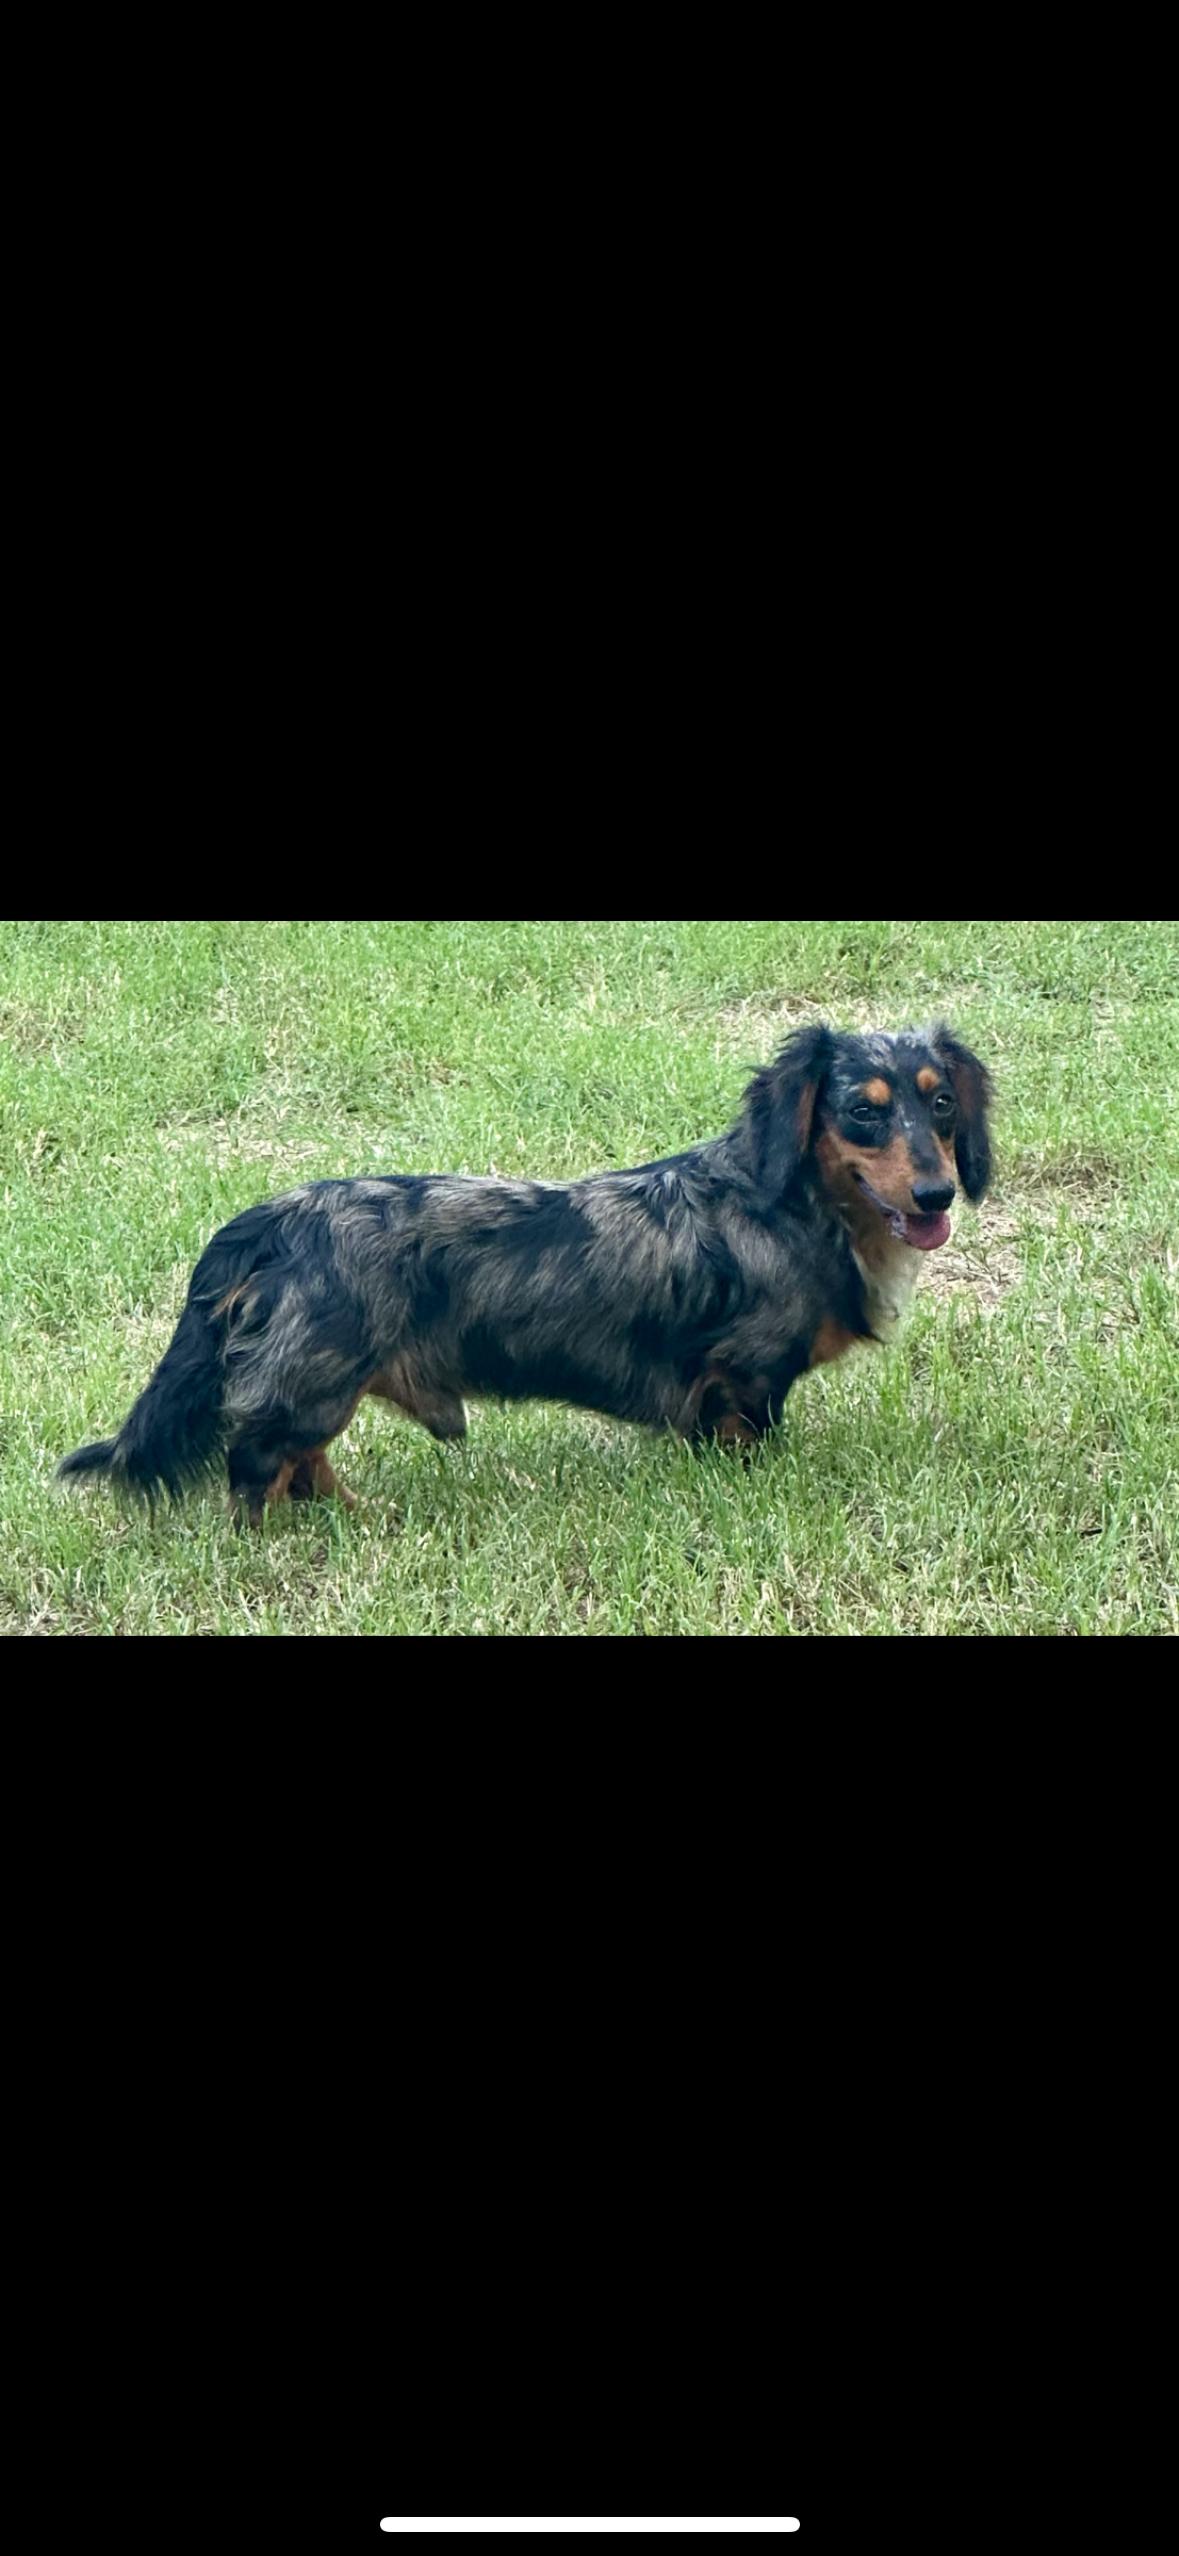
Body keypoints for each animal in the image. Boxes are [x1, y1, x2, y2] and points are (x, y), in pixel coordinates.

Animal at [58, 1021, 992, 1523]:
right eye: (863, 1112)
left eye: (941, 1102)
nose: (937, 1192)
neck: (794, 1207)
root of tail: (272, 1219)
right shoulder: (748, 1377)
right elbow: (748, 1443)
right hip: (314, 1380)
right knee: (257, 1469)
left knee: (302, 1467)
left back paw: (357, 1521)